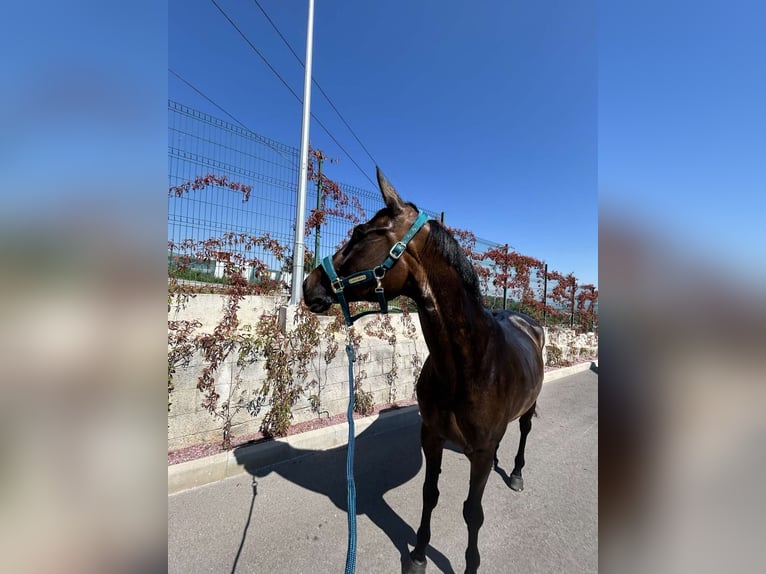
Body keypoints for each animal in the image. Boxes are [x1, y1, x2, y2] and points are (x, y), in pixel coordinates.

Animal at [302, 169, 544, 572]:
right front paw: (417, 553)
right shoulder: (431, 437)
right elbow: (430, 494)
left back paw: (517, 474)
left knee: (523, 431)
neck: (467, 365)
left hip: (529, 407)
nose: (309, 285)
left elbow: (472, 512)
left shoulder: (477, 453)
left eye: (360, 233)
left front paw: (470, 564)